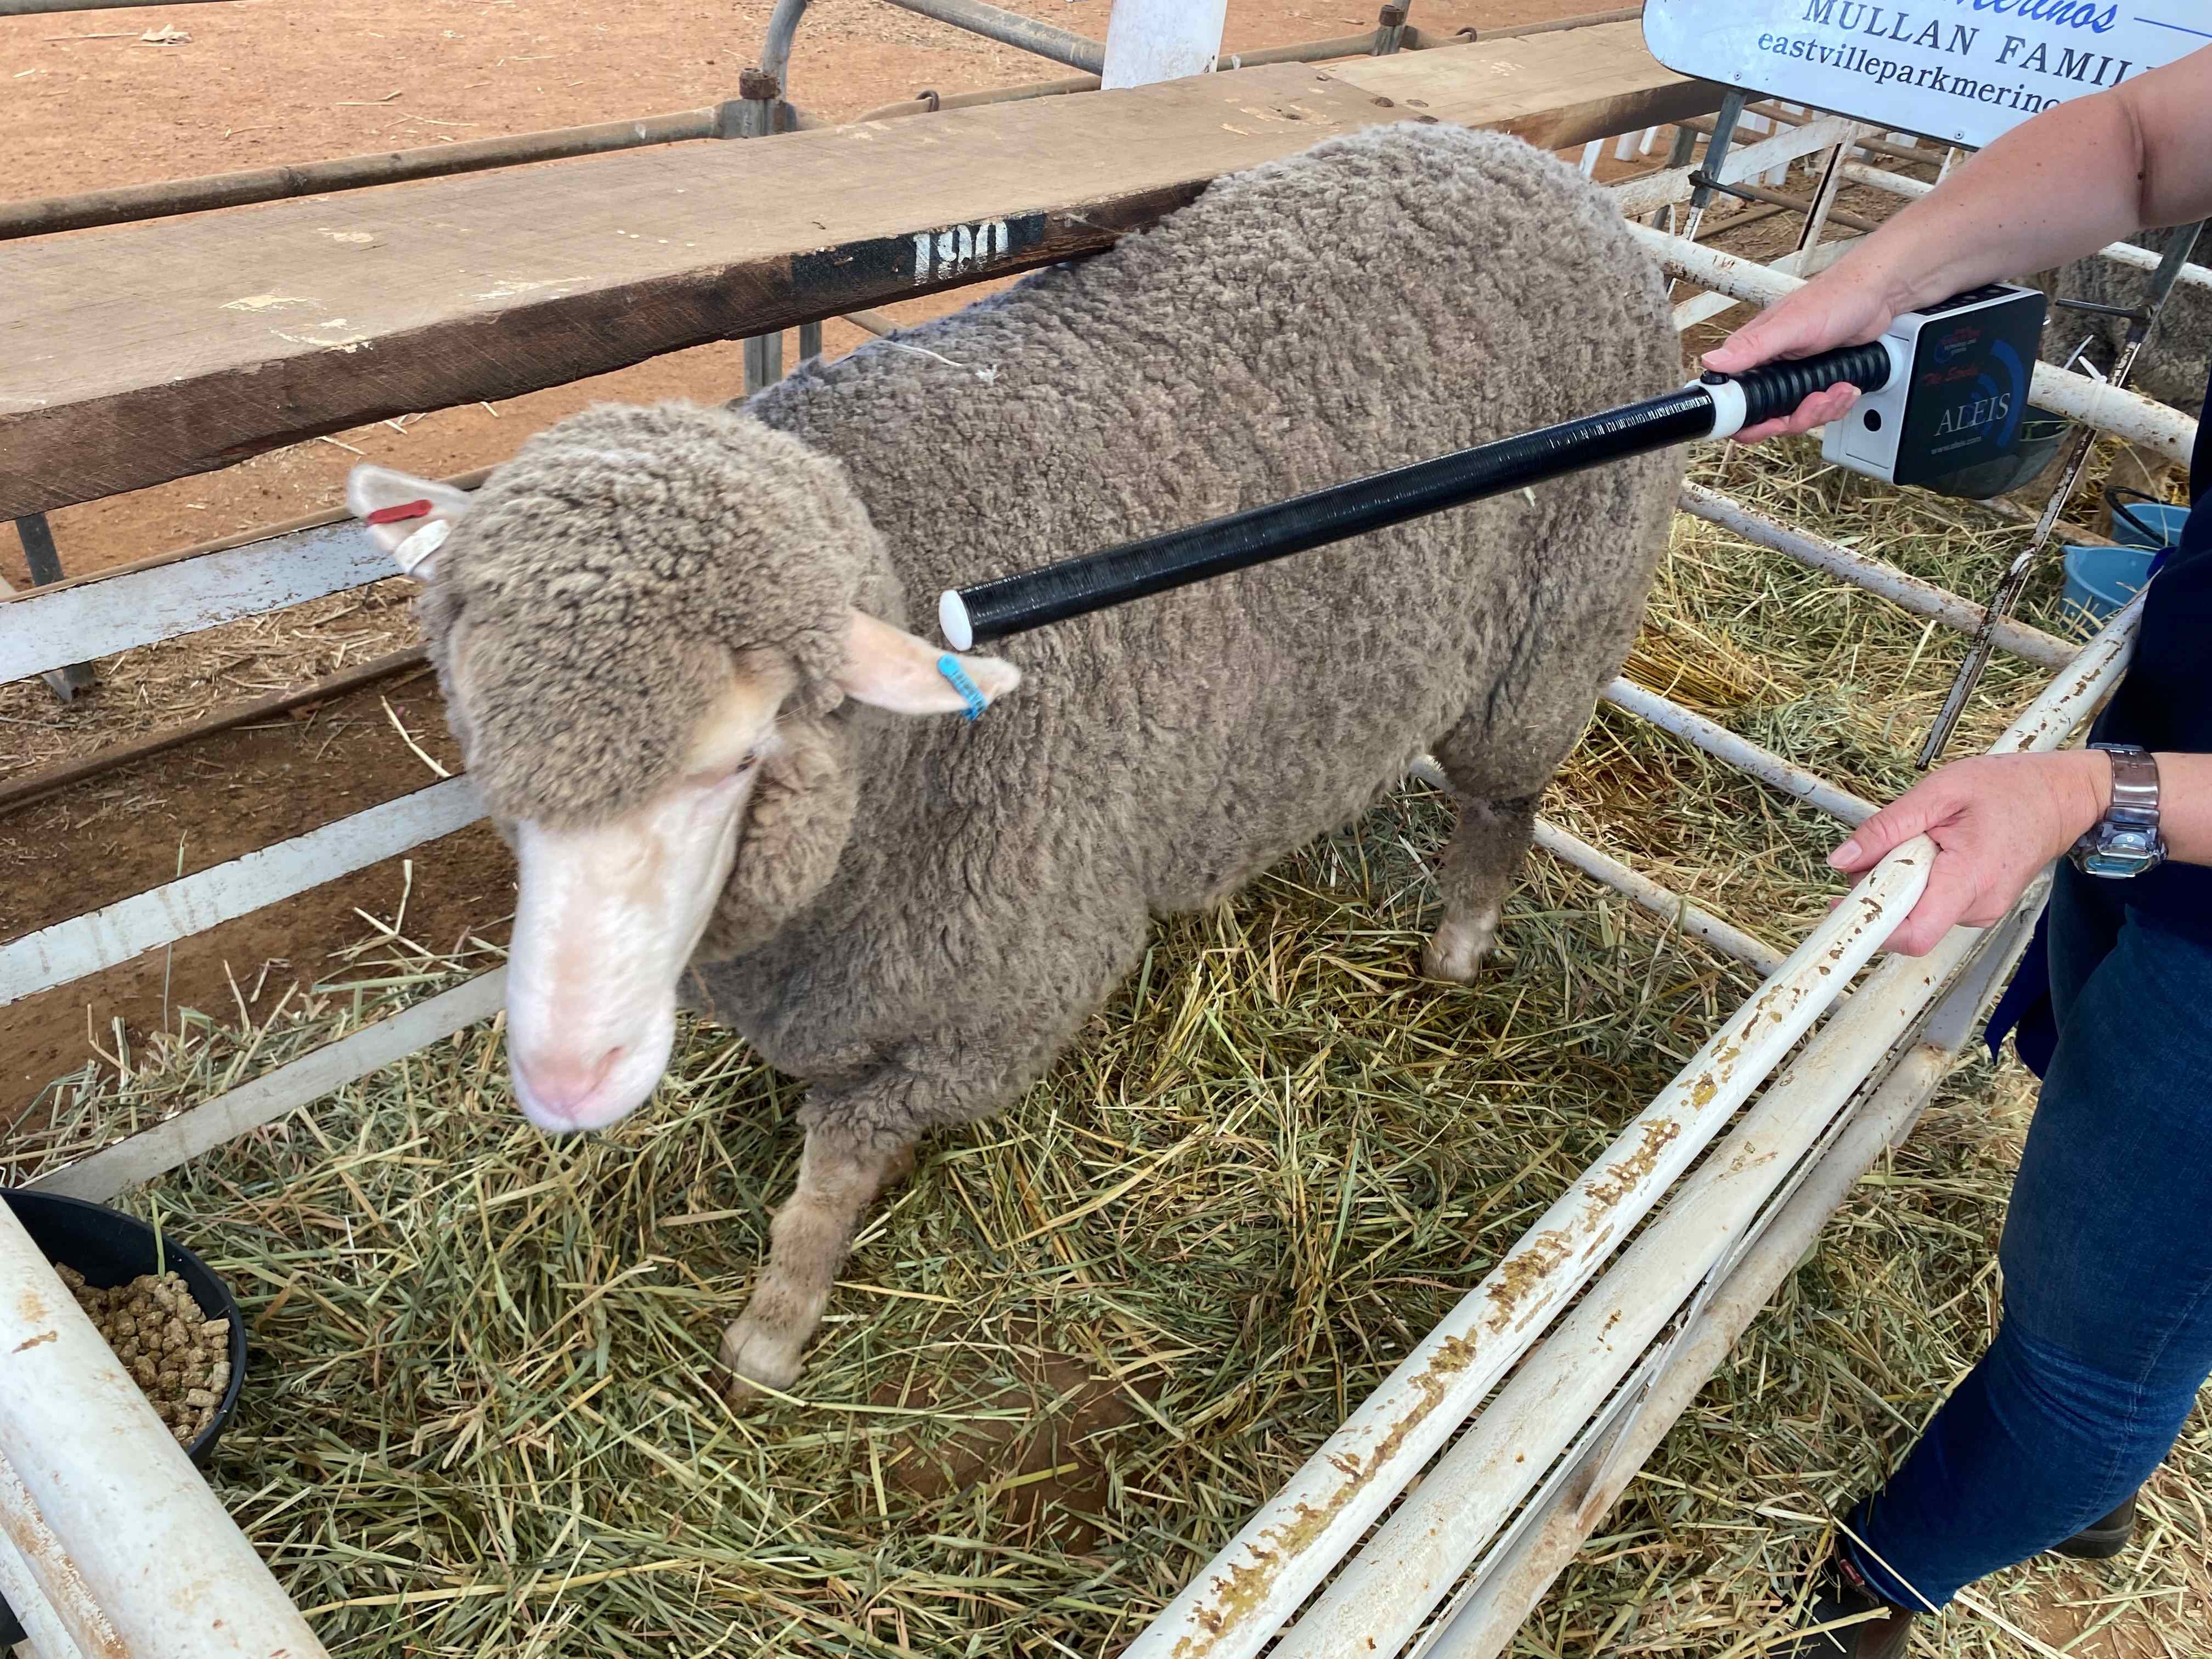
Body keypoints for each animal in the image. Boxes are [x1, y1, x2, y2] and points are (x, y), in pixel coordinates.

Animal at [354, 120, 1681, 1407]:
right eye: (488, 751)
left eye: (740, 759)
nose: (563, 1082)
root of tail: (1532, 168)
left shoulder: (989, 1005)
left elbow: (836, 1174)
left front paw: (773, 1329)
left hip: (1557, 625)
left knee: (1503, 803)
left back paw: (1459, 947)